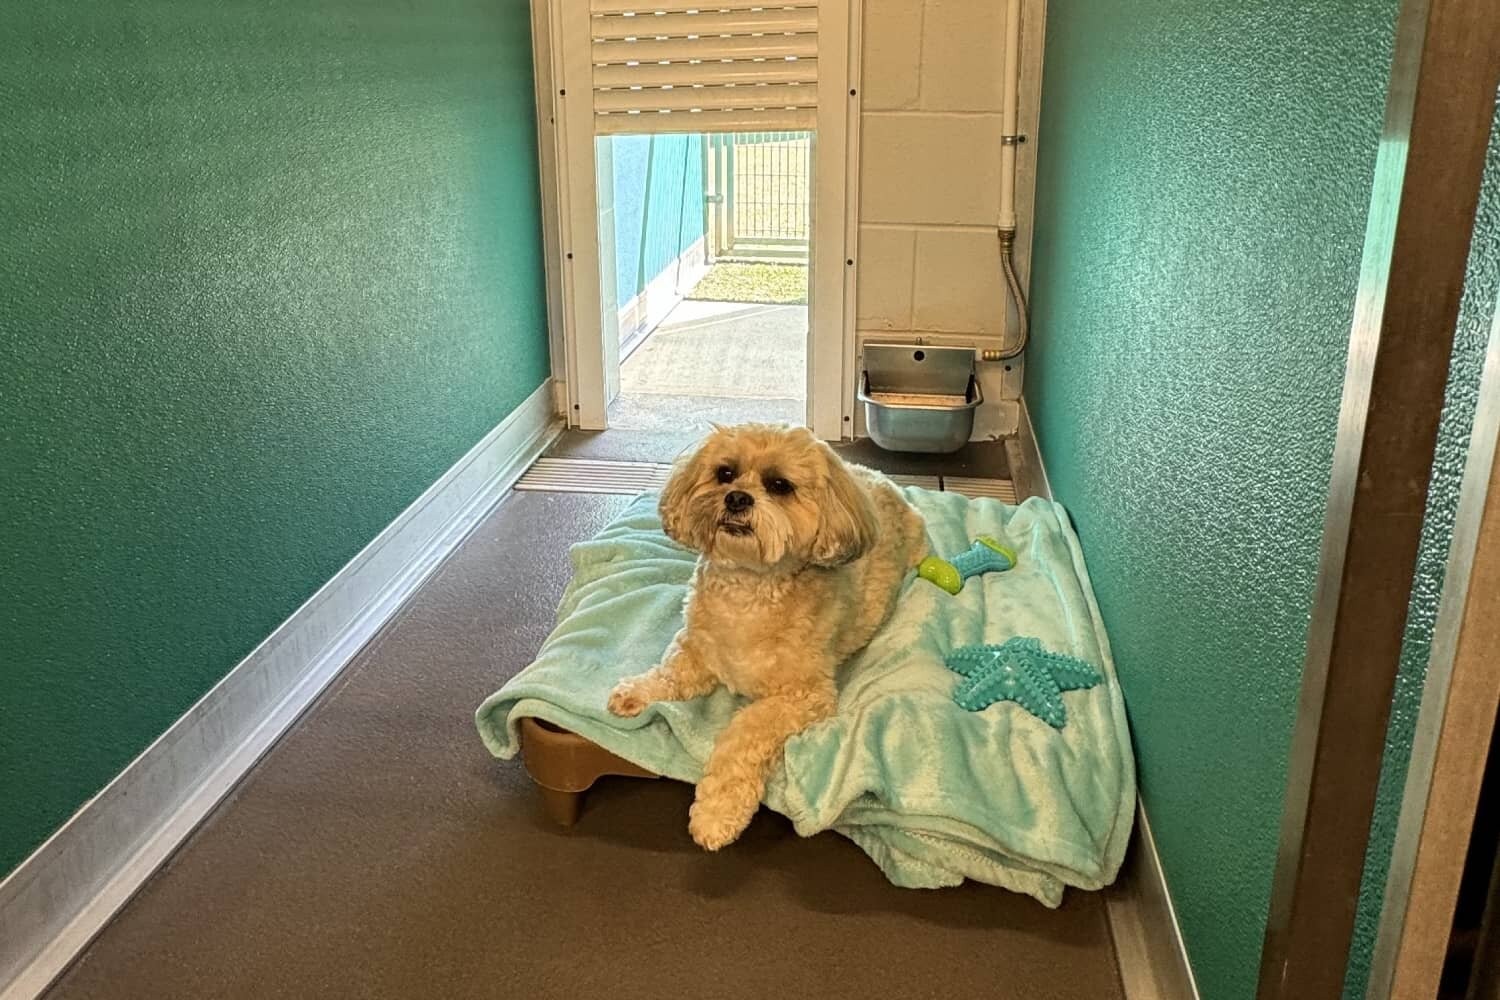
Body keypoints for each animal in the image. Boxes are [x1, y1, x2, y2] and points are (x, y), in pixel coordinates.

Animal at [609, 422, 924, 851]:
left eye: (779, 485)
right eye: (725, 473)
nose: (737, 497)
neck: (749, 591)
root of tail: (876, 477)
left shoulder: (803, 697)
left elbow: (745, 731)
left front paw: (716, 814)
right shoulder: (697, 650)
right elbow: (670, 672)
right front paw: (636, 691)